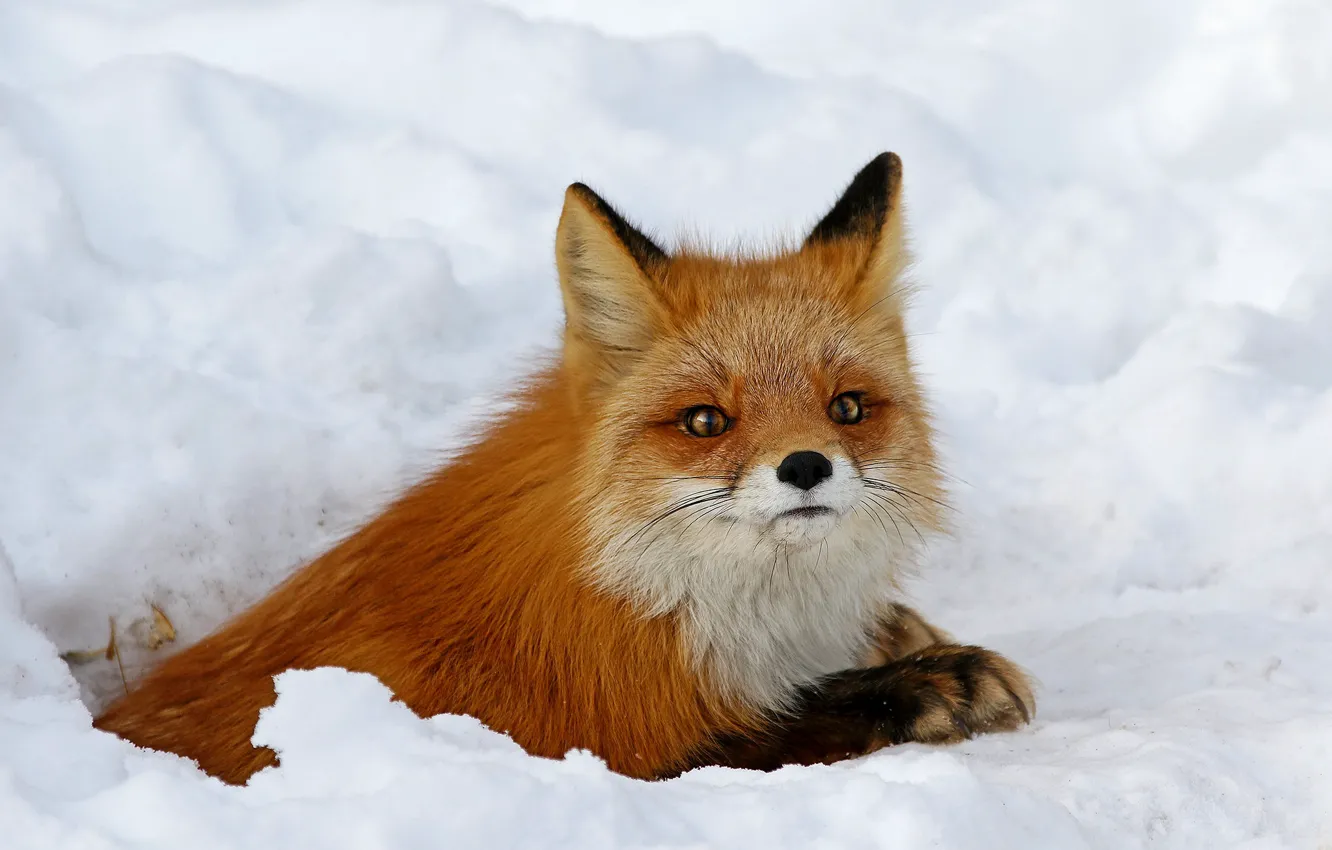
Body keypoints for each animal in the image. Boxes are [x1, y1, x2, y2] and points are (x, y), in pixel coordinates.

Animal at [94, 153, 1034, 784]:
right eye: (706, 421)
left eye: (846, 409)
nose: (805, 465)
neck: (646, 599)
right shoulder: (590, 741)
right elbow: (745, 735)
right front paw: (920, 683)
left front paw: (901, 634)